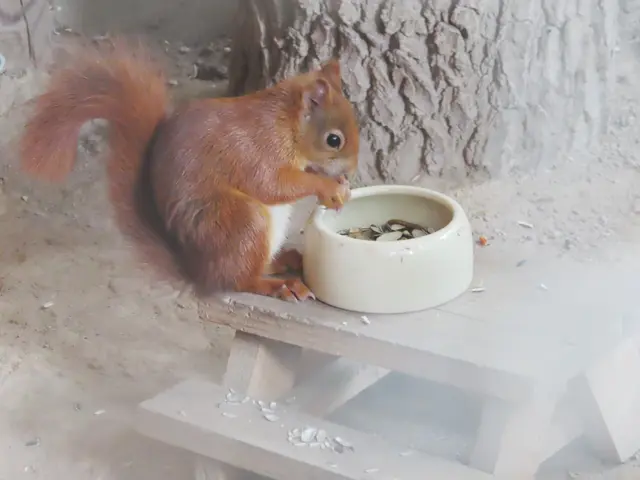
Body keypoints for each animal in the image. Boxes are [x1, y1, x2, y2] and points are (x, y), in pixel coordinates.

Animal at [19, 38, 360, 302]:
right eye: (334, 140)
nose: (353, 169)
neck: (284, 124)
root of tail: (195, 271)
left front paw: (339, 184)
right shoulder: (255, 150)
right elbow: (272, 184)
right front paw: (329, 187)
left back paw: (285, 260)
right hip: (241, 222)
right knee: (238, 280)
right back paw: (281, 286)